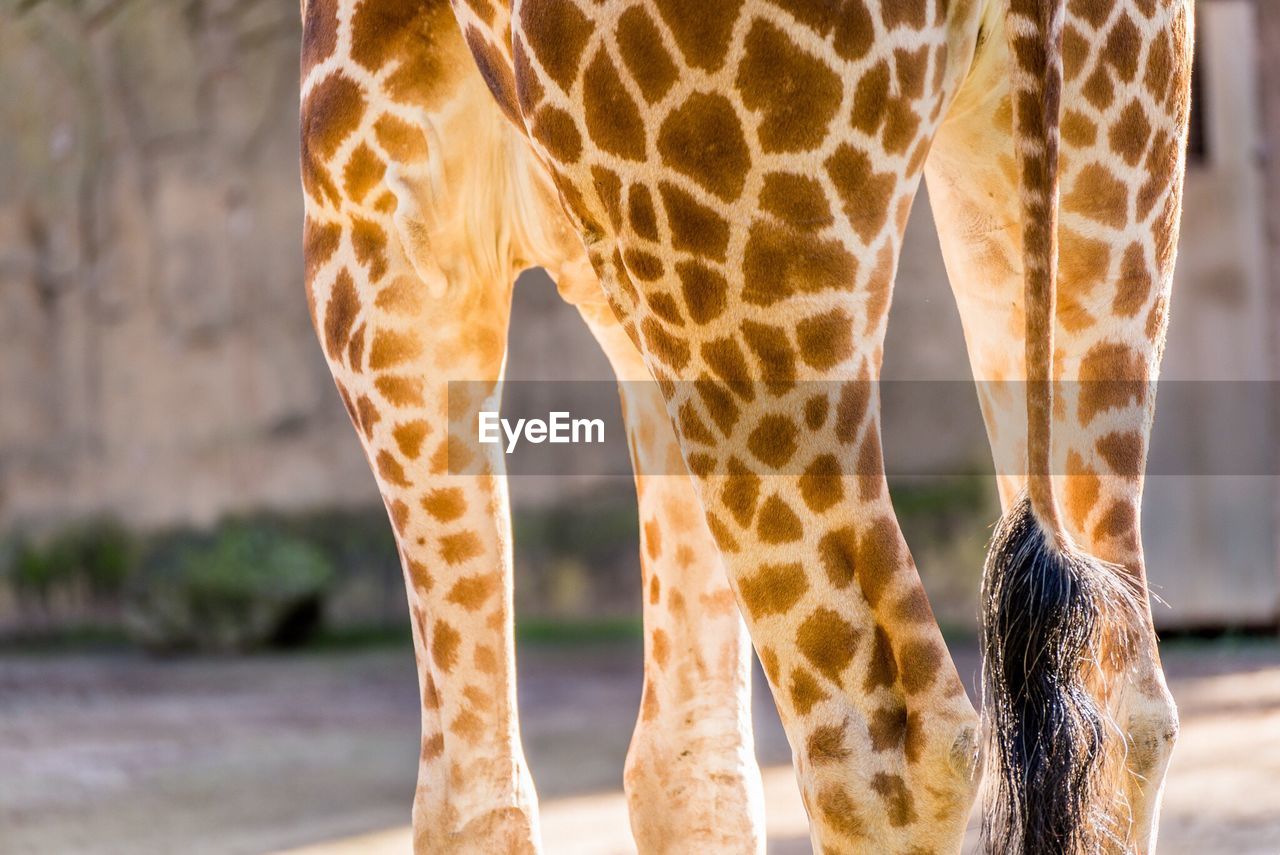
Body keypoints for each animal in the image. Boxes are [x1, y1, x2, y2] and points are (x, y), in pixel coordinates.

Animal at [296, 0, 1187, 849]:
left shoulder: (384, 229)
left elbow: (469, 799)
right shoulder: (609, 277)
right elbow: (691, 769)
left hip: (728, 241)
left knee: (888, 741)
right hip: (1096, 167)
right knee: (1121, 694)